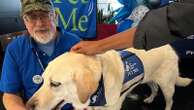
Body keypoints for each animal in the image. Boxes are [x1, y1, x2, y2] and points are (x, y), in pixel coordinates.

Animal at [26, 44, 192, 110]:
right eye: (42, 80)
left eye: (55, 84)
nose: (29, 106)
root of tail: (169, 46)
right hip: (148, 77)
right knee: (154, 88)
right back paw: (150, 99)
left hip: (167, 86)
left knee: (170, 100)